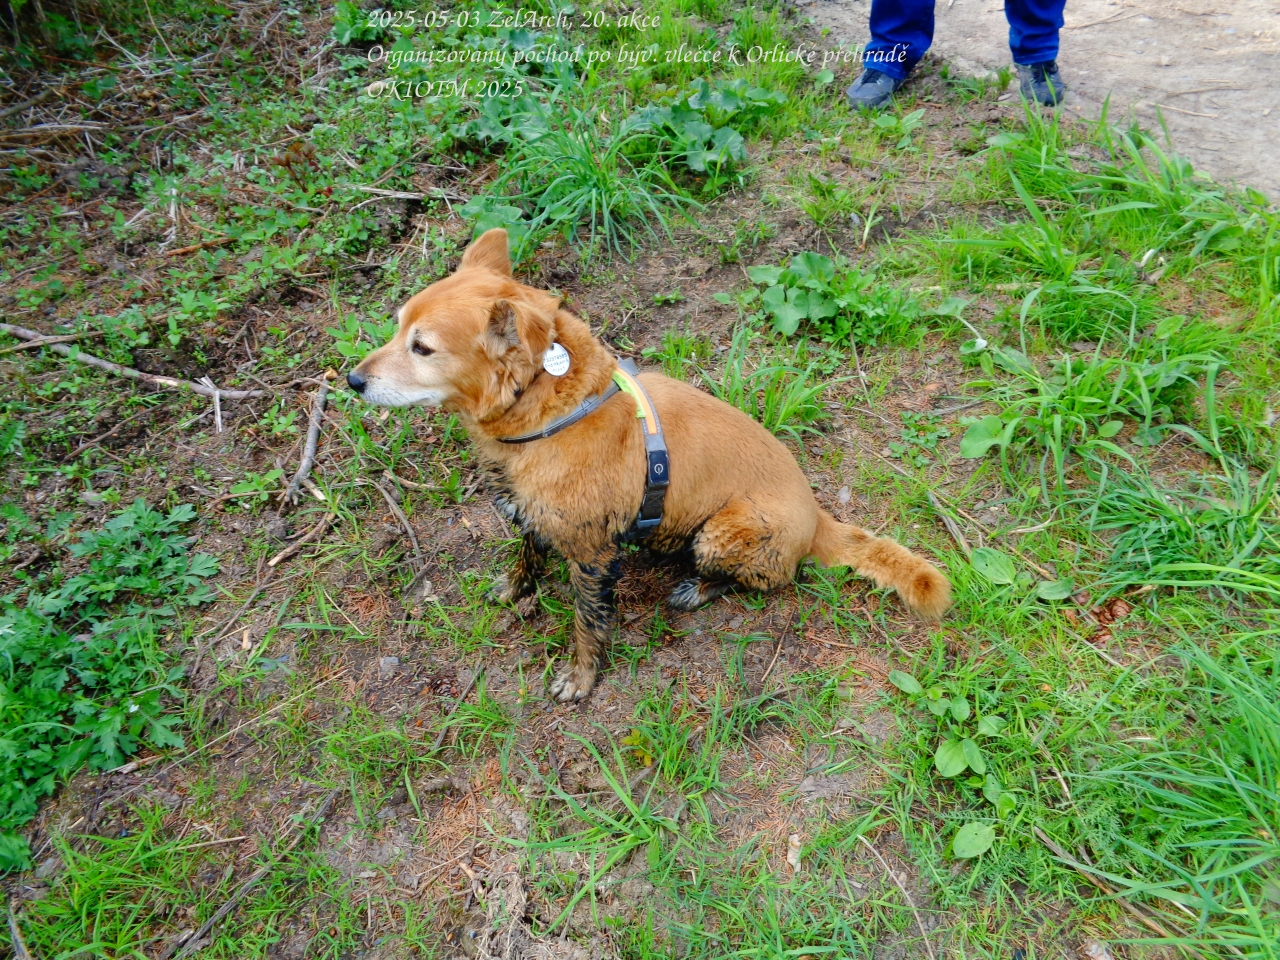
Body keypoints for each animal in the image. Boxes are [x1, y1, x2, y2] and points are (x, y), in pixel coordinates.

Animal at [348, 228, 950, 701]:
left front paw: (581, 678)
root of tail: (819, 518)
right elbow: (527, 555)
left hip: (721, 533)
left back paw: (697, 588)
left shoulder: (592, 554)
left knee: (760, 581)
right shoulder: (535, 515)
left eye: (422, 348)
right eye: (397, 327)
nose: (351, 380)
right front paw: (516, 589)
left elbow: (588, 623)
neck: (551, 411)